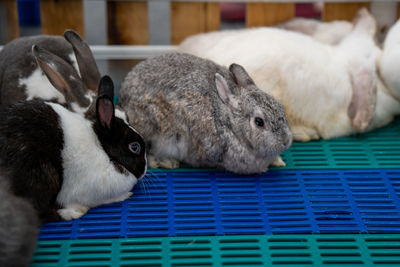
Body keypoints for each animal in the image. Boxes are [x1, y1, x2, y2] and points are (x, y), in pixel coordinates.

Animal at [0, 74, 148, 223]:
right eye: (135, 147)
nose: (145, 170)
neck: (103, 149)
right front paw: (125, 195)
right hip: (42, 175)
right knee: (38, 212)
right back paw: (72, 213)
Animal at [119, 52, 290, 175]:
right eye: (259, 122)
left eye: (281, 107)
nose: (286, 141)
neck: (229, 123)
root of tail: (122, 97)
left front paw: (278, 162)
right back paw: (167, 162)